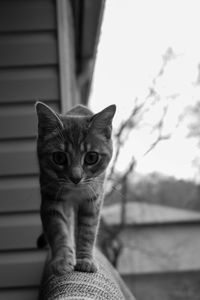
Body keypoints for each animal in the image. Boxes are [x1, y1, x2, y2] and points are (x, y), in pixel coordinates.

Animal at [35, 102, 115, 276]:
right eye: (59, 157)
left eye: (91, 157)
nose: (76, 178)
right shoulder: (52, 199)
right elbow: (59, 230)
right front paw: (63, 259)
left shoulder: (93, 200)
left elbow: (88, 231)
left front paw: (85, 259)